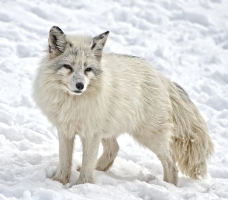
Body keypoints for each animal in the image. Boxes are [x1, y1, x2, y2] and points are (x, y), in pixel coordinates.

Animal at [33, 25, 214, 185]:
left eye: (87, 69)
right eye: (68, 67)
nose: (80, 86)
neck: (73, 103)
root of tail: (160, 75)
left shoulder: (91, 134)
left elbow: (87, 164)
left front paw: (82, 185)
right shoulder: (66, 130)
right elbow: (65, 160)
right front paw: (59, 181)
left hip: (149, 136)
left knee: (171, 162)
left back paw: (168, 186)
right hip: (110, 130)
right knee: (114, 149)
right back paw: (99, 170)